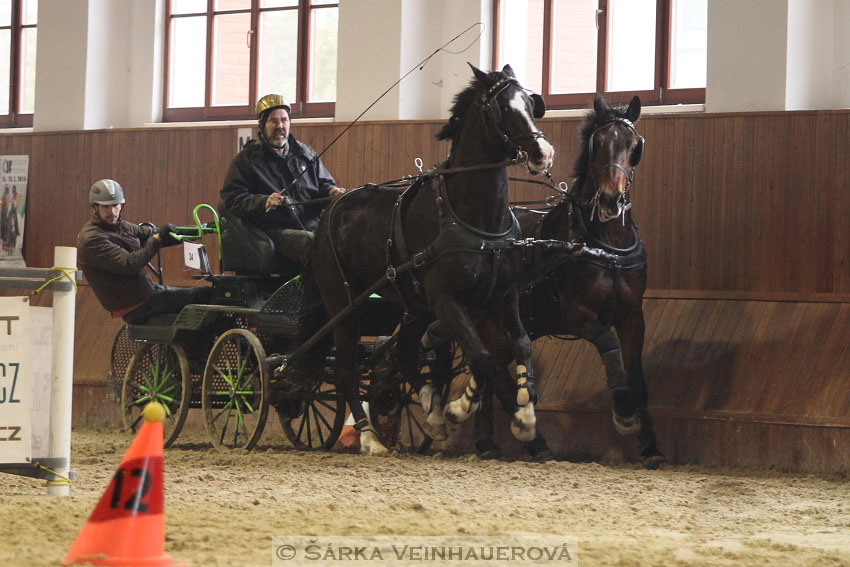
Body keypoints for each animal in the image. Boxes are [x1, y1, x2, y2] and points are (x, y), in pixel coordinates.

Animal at [308, 65, 552, 458]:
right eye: (503, 108)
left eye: (531, 105)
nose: (542, 152)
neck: (474, 219)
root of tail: (331, 209)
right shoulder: (447, 301)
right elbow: (482, 356)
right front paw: (460, 407)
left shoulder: (504, 296)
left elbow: (521, 345)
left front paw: (525, 418)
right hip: (344, 304)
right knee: (347, 370)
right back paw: (371, 437)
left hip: (413, 308)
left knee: (404, 354)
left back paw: (432, 417)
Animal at [470, 94, 664, 470]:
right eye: (598, 144)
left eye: (634, 146)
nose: (611, 200)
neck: (606, 245)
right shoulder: (576, 315)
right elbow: (608, 344)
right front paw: (623, 413)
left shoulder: (633, 316)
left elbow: (637, 375)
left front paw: (650, 447)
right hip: (488, 321)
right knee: (490, 369)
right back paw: (509, 440)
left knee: (493, 366)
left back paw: (490, 442)